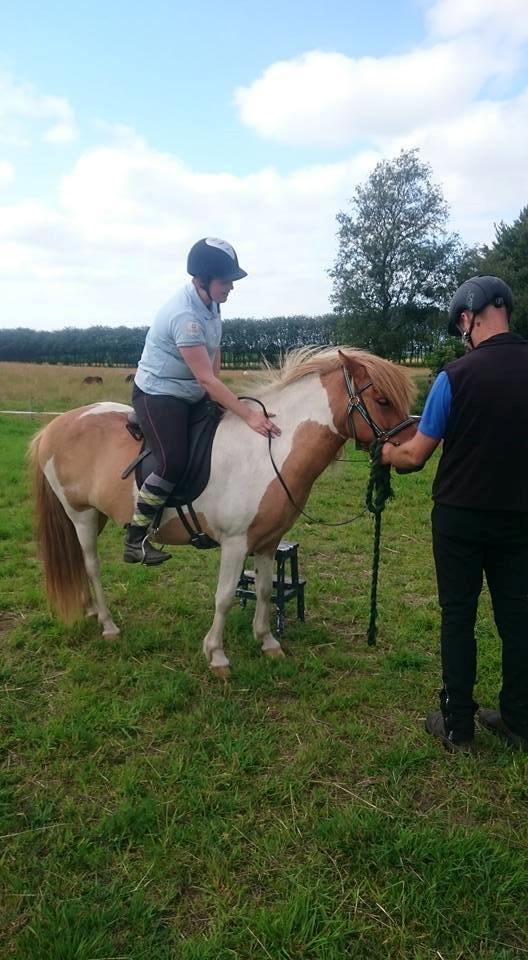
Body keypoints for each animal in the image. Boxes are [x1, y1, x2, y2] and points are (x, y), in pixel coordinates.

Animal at [29, 346, 416, 676]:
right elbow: (225, 597)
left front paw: (268, 642)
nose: (412, 453)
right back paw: (109, 624)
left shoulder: (268, 542)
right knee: (91, 566)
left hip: (96, 516)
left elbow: (265, 589)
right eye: (382, 400)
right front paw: (216, 654)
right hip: (81, 515)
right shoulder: (234, 543)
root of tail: (54, 426)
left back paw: (92, 610)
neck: (268, 449)